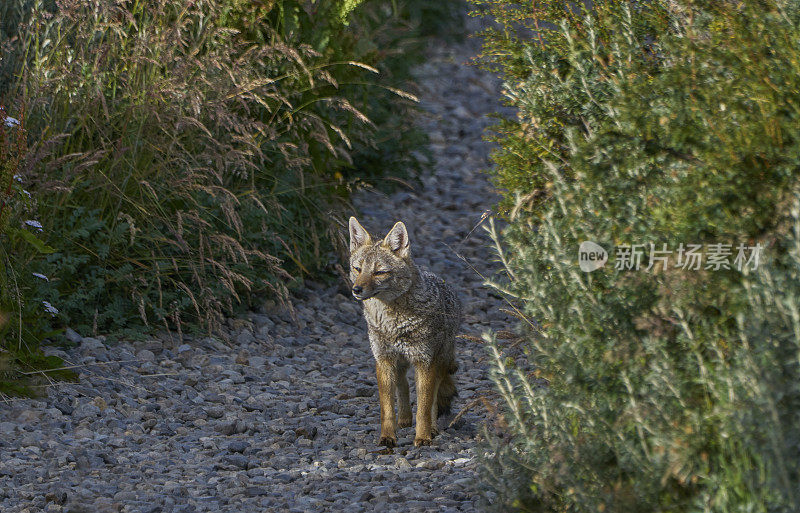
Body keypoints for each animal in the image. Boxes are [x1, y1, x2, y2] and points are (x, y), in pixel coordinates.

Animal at [348, 216, 462, 444]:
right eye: (357, 269)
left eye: (379, 272)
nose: (357, 290)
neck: (392, 323)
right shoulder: (383, 360)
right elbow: (386, 408)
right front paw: (387, 437)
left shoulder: (424, 362)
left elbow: (425, 407)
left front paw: (424, 437)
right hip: (399, 363)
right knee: (403, 387)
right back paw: (404, 419)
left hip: (438, 363)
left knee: (433, 398)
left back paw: (432, 428)